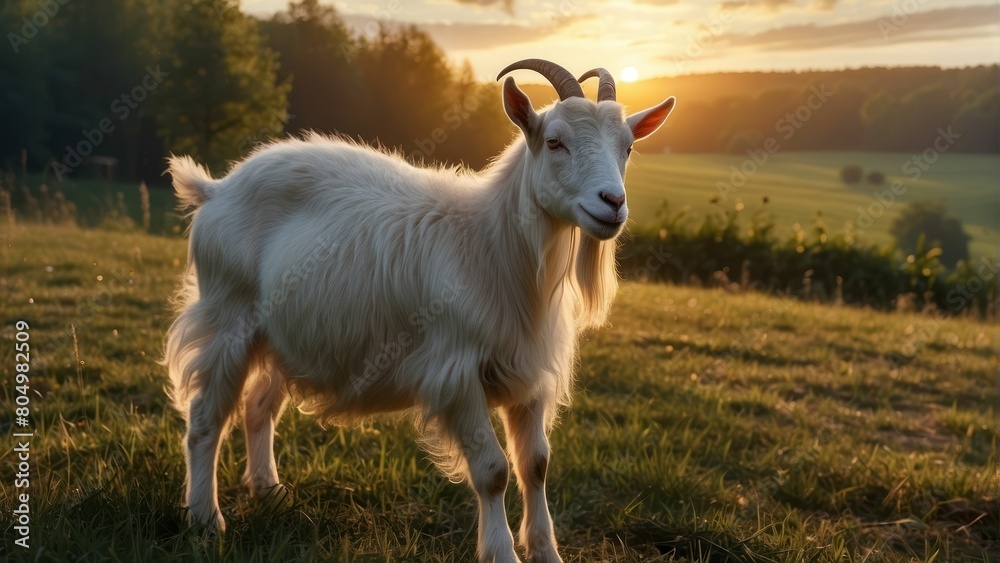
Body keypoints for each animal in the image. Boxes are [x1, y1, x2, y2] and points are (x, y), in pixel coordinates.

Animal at [164, 59, 674, 563]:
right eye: (555, 142)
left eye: (628, 147)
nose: (613, 203)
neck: (490, 246)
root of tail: (216, 189)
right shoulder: (456, 372)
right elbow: (493, 470)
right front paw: (501, 552)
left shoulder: (528, 373)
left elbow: (536, 465)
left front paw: (546, 552)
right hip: (229, 317)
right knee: (204, 419)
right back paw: (205, 519)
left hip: (283, 335)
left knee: (257, 407)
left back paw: (269, 492)